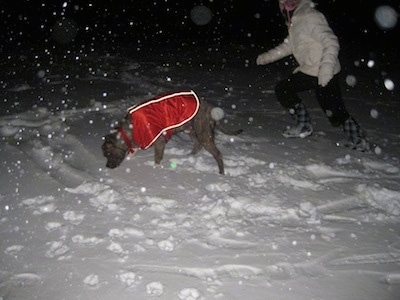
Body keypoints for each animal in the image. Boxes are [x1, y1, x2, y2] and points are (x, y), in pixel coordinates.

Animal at [101, 89, 242, 173]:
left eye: (108, 154)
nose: (107, 166)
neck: (129, 129)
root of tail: (210, 107)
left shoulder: (159, 142)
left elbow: (157, 157)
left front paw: (156, 168)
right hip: (191, 130)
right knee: (197, 144)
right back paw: (189, 156)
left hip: (203, 133)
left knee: (217, 154)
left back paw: (221, 173)